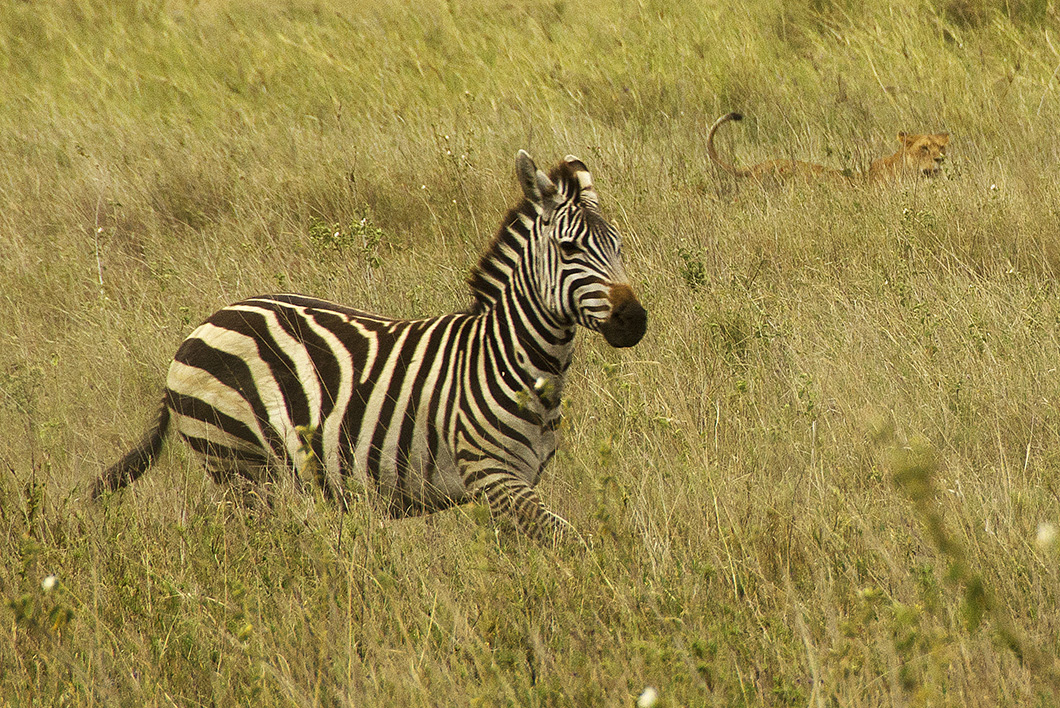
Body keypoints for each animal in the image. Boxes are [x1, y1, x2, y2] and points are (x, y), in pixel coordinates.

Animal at [93, 150, 647, 544]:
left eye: (618, 246)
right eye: (569, 249)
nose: (634, 320)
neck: (511, 359)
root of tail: (200, 328)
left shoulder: (518, 482)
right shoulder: (493, 476)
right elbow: (574, 544)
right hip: (240, 466)